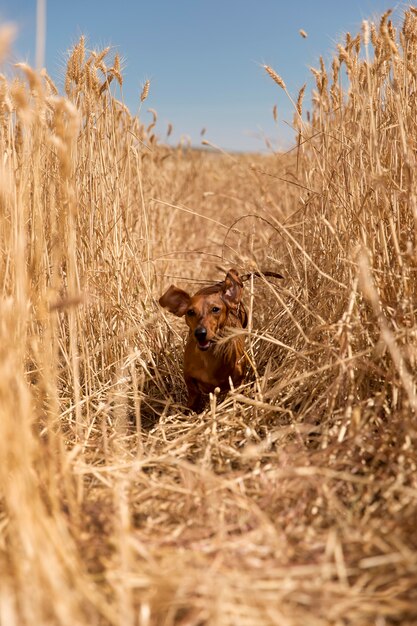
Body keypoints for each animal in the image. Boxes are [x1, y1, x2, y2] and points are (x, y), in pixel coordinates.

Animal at [158, 266, 245, 410]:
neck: (209, 359)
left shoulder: (238, 381)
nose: (200, 333)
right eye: (190, 312)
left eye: (215, 309)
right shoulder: (190, 380)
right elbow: (193, 398)